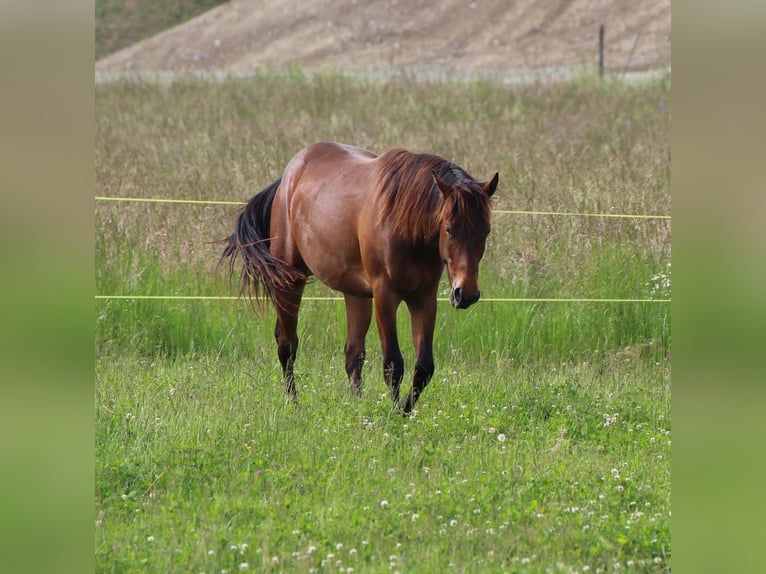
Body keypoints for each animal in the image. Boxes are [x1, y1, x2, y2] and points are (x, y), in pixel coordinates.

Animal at [222, 143, 498, 414]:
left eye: (486, 231)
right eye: (449, 229)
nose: (466, 293)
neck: (406, 226)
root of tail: (287, 178)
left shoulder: (424, 299)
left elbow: (424, 367)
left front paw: (405, 410)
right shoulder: (385, 296)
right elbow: (393, 364)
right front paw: (395, 414)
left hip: (355, 293)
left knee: (353, 354)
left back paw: (355, 404)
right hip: (290, 281)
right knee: (287, 345)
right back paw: (293, 403)